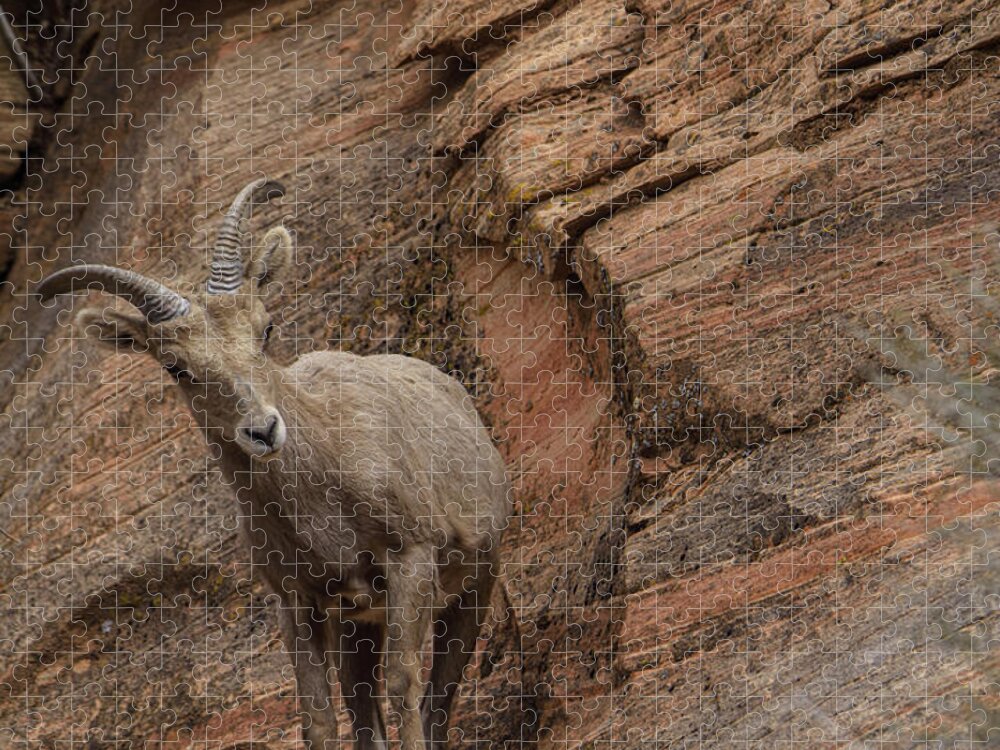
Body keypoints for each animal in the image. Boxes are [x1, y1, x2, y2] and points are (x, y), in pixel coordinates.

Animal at [37, 178, 512, 750]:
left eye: (264, 330)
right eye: (176, 366)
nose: (263, 431)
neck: (322, 507)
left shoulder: (411, 560)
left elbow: (405, 685)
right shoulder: (298, 602)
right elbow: (320, 717)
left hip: (476, 584)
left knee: (437, 698)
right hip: (359, 625)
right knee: (363, 707)